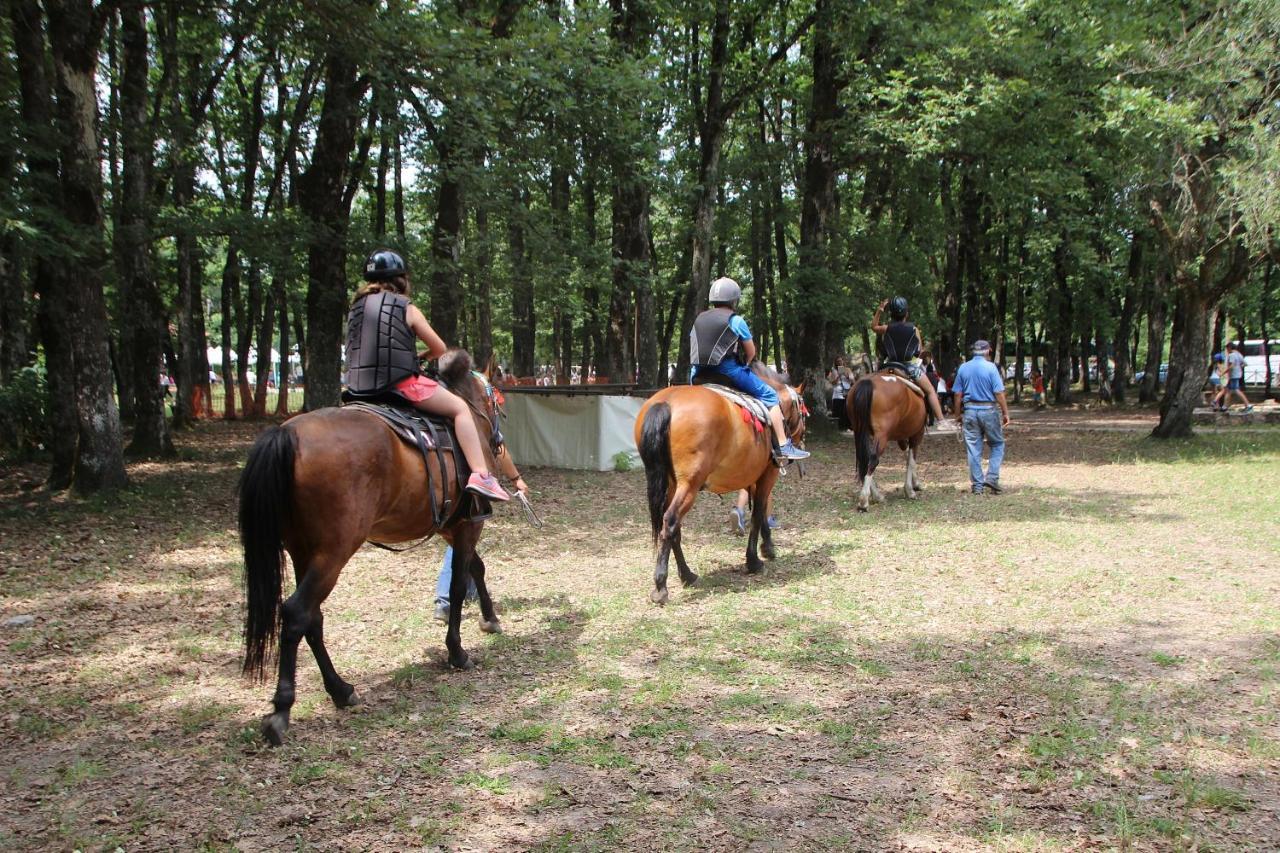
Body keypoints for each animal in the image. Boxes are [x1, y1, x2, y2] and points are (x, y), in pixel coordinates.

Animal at [240, 348, 499, 742]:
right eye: (499, 399)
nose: (499, 443)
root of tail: (287, 433)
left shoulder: (452, 526)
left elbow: (475, 570)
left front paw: (489, 619)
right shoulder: (469, 524)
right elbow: (458, 586)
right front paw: (457, 652)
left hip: (303, 550)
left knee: (313, 618)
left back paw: (340, 689)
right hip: (333, 552)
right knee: (297, 612)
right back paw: (282, 711)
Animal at [634, 361, 803, 601]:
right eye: (803, 411)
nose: (800, 437)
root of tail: (666, 402)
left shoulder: (753, 477)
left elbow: (760, 511)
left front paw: (767, 547)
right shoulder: (767, 474)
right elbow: (758, 513)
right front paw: (754, 560)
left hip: (671, 483)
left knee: (672, 526)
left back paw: (687, 574)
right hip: (689, 485)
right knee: (671, 521)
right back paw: (661, 586)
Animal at [844, 368, 926, 507]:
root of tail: (868, 382)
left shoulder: (902, 438)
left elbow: (907, 458)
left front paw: (914, 484)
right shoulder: (916, 435)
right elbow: (911, 460)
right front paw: (910, 490)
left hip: (860, 432)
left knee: (864, 459)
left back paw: (876, 495)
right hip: (882, 435)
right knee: (873, 460)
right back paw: (864, 501)